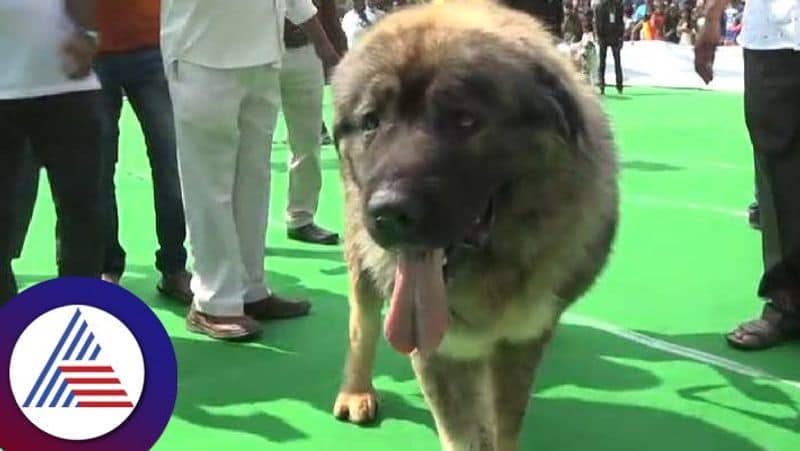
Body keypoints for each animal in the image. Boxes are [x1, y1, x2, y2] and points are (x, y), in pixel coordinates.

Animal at [330, 1, 620, 450]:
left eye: (464, 120)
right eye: (371, 122)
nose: (388, 212)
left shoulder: (521, 340)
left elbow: (503, 424)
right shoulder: (441, 349)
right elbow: (462, 431)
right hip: (362, 262)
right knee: (363, 324)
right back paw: (356, 391)